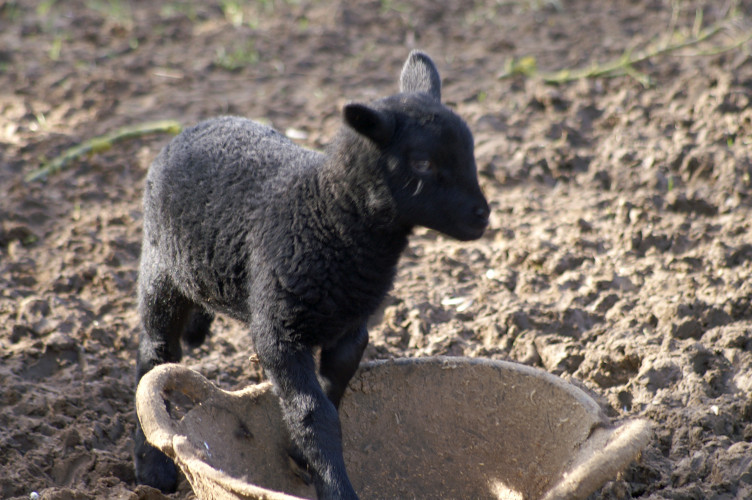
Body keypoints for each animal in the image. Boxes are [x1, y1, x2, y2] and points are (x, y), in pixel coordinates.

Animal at [133, 50, 490, 499]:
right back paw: (152, 466)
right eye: (423, 163)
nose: (482, 216)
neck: (330, 215)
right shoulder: (279, 334)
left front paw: (301, 456)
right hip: (160, 272)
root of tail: (191, 129)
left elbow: (332, 391)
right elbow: (312, 412)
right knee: (155, 353)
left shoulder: (351, 328)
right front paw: (335, 487)